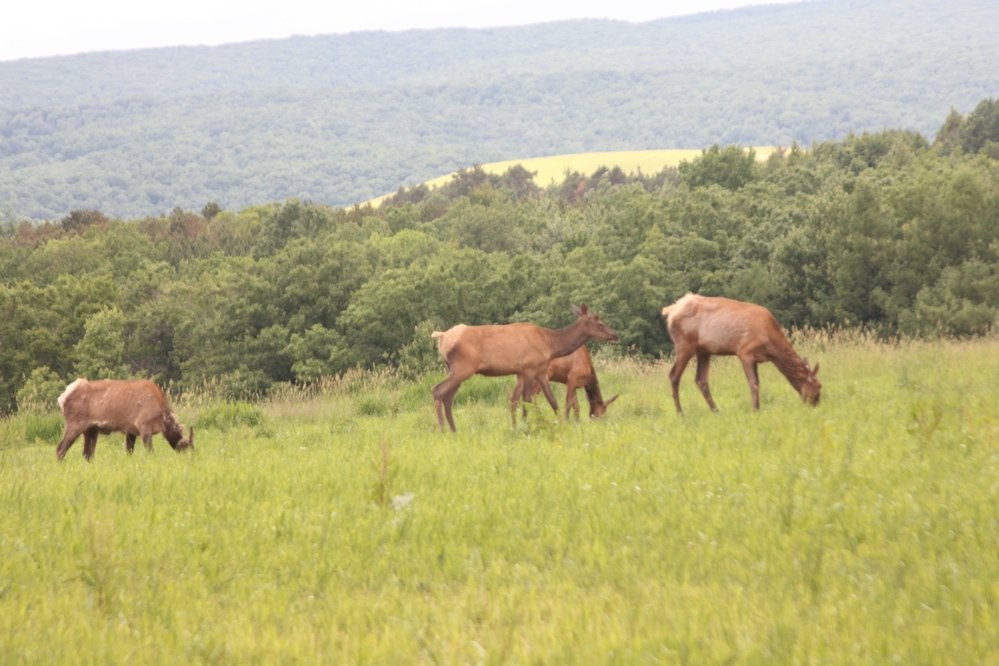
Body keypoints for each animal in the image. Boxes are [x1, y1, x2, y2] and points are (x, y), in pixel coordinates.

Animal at [55, 376, 194, 460]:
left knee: (87, 454)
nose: (189, 459)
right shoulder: (144, 426)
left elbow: (129, 452)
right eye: (185, 447)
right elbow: (150, 452)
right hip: (75, 423)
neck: (162, 418)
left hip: (91, 429)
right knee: (60, 449)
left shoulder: (131, 431)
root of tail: (62, 398)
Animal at [434, 302, 620, 430]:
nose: (616, 334)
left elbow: (553, 401)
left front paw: (561, 424)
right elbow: (527, 400)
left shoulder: (540, 372)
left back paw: (454, 430)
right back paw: (442, 429)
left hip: (455, 369)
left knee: (448, 398)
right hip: (463, 367)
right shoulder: (529, 369)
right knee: (438, 390)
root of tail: (442, 337)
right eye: (599, 322)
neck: (550, 345)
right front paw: (525, 427)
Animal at [664, 294, 820, 412]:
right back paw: (680, 413)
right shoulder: (745, 352)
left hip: (704, 351)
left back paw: (716, 410)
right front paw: (755, 410)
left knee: (701, 379)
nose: (816, 404)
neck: (771, 347)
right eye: (819, 386)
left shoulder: (756, 358)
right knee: (674, 375)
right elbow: (753, 383)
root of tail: (670, 311)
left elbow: (757, 383)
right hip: (685, 344)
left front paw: (757, 408)